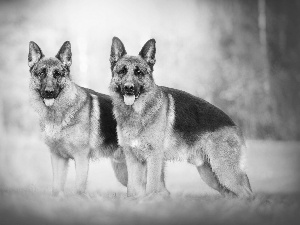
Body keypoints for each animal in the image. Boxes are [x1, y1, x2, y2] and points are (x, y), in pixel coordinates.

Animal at [27, 41, 127, 196]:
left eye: (57, 74)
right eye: (41, 73)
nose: (49, 92)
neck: (61, 115)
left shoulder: (81, 158)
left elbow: (79, 189)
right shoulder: (58, 158)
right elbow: (56, 188)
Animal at [109, 37, 252, 199]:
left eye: (139, 72)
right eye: (122, 71)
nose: (129, 88)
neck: (138, 113)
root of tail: (233, 124)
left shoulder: (154, 158)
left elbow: (151, 189)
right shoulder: (133, 160)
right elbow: (132, 192)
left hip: (225, 172)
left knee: (248, 194)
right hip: (211, 176)